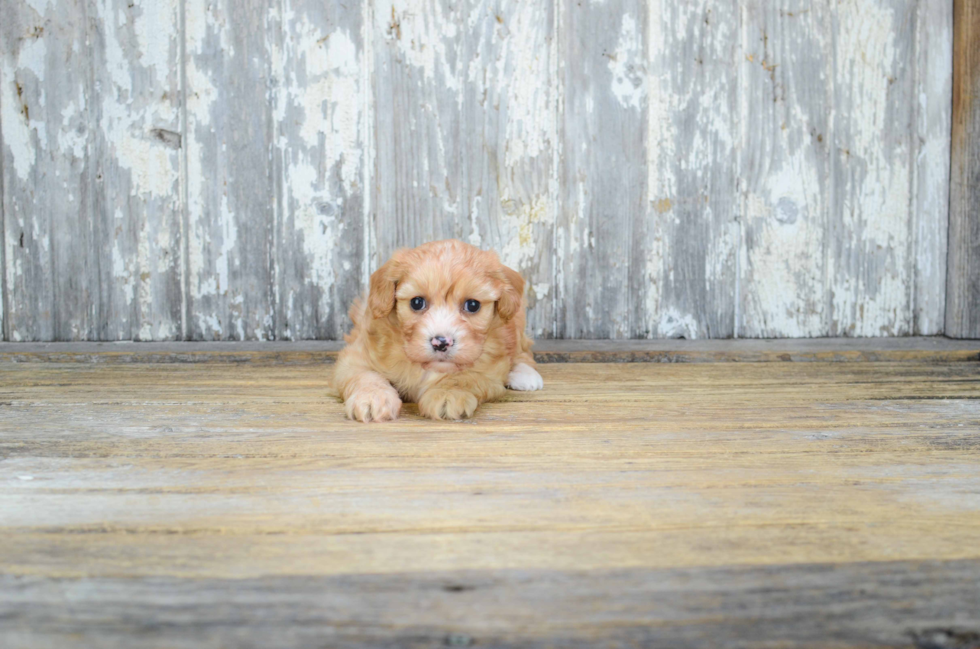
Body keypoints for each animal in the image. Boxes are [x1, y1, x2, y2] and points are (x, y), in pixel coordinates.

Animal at [334, 240, 544, 422]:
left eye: (473, 305)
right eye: (417, 302)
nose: (441, 343)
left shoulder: (490, 372)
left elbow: (464, 378)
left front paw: (447, 394)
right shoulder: (356, 356)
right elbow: (366, 375)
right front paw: (373, 398)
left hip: (517, 321)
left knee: (523, 351)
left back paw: (525, 374)